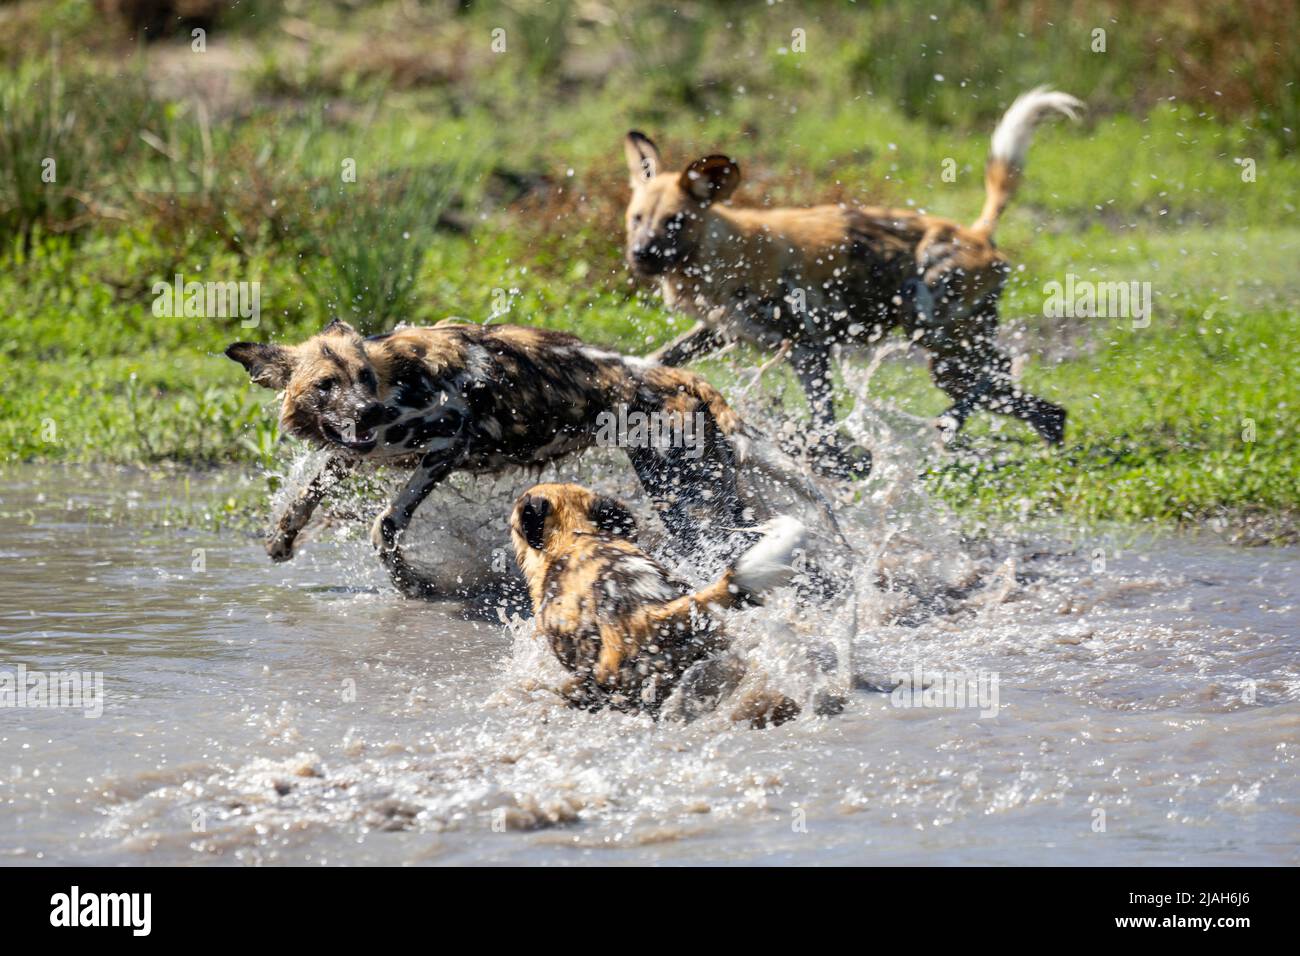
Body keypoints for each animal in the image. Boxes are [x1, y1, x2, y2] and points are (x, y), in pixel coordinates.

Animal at [226, 317, 832, 598]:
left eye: (362, 378)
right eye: (326, 385)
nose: (367, 412)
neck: (399, 379)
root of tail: (683, 378)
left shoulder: (448, 446)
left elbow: (386, 525)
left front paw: (414, 586)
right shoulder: (362, 449)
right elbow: (311, 487)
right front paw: (281, 537)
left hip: (684, 497)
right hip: (707, 489)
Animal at [624, 85, 1081, 476]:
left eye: (675, 222)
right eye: (636, 219)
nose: (640, 254)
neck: (720, 251)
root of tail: (977, 233)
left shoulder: (808, 348)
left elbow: (822, 422)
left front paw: (830, 459)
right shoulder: (720, 330)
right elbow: (661, 357)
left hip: (933, 333)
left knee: (996, 375)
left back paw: (951, 425)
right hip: (951, 360)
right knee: (1035, 400)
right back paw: (1046, 449)